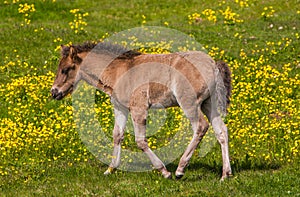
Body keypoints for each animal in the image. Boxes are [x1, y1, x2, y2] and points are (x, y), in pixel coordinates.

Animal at [51, 42, 232, 180]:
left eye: (66, 69)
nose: (54, 92)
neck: (120, 71)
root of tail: (213, 65)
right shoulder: (120, 107)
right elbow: (117, 135)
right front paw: (110, 169)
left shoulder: (139, 108)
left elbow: (140, 141)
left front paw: (164, 171)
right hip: (209, 104)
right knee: (221, 131)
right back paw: (225, 174)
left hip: (189, 103)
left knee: (201, 127)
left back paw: (180, 170)